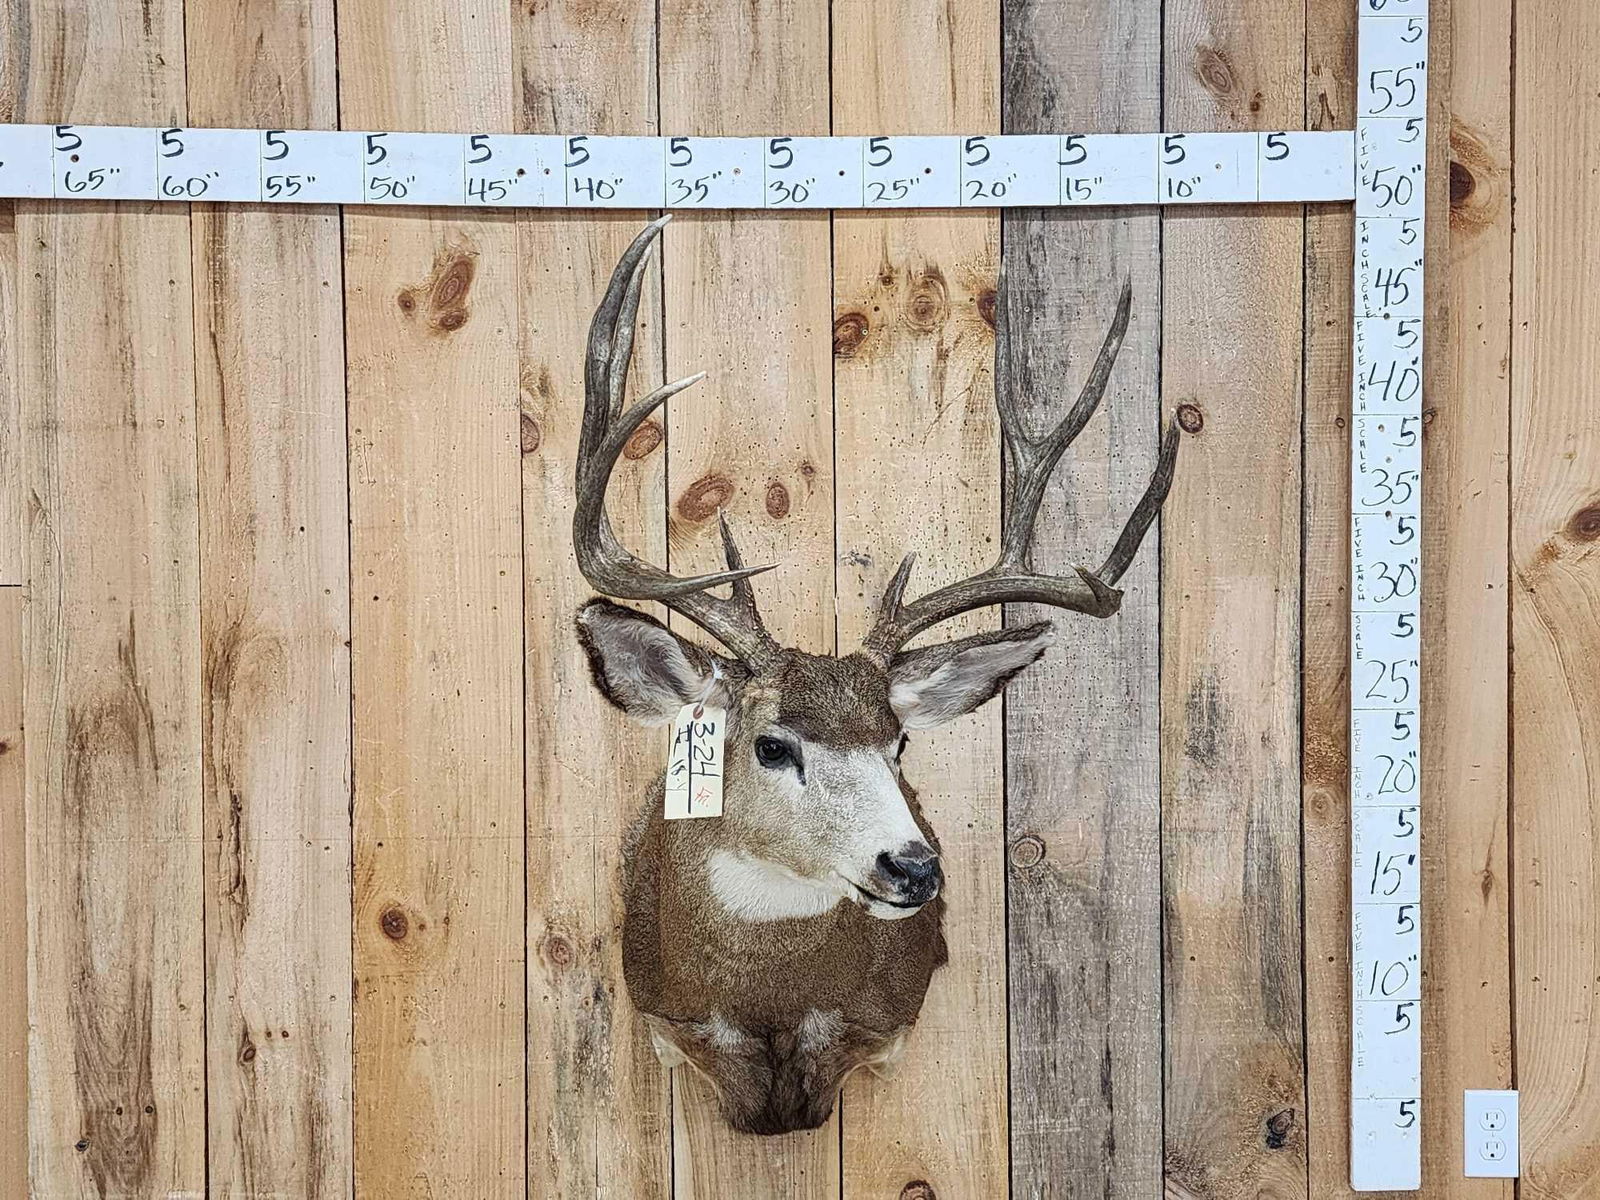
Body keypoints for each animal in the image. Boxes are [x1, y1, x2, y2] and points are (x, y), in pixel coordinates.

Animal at [572, 216, 1180, 1136]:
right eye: (772, 745)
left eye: (898, 744)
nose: (915, 869)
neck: (771, 1004)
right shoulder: (669, 1023)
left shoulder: (880, 1024)